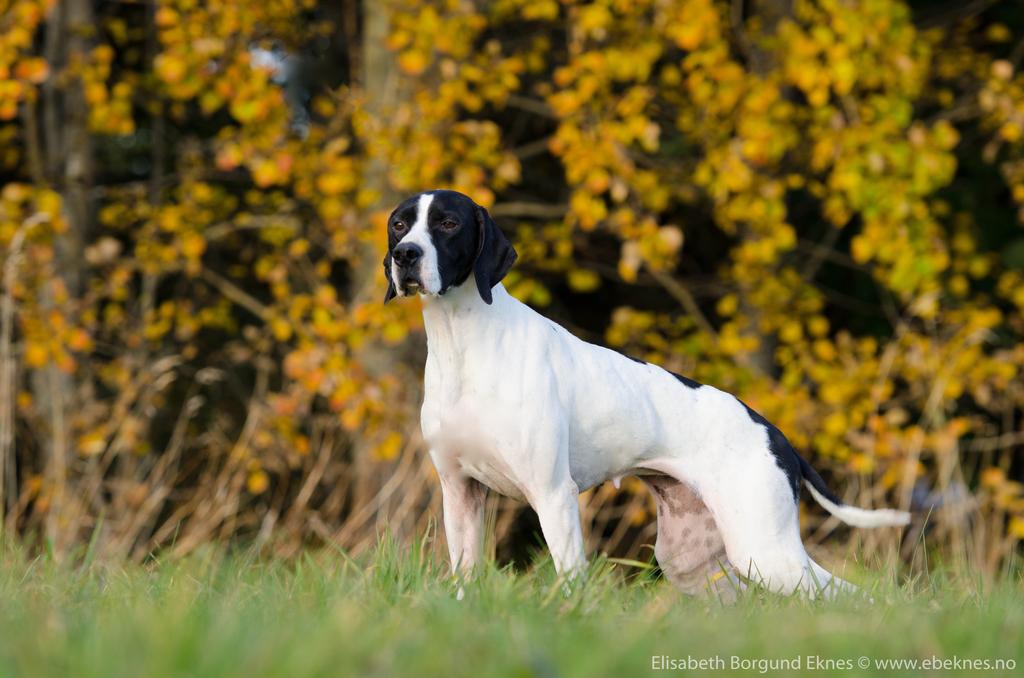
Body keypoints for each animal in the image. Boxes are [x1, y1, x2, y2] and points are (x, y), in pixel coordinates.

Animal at [385, 188, 913, 598]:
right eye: (399, 225)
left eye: (449, 223)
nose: (405, 255)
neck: (466, 342)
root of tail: (774, 432)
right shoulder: (460, 494)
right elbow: (464, 578)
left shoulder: (553, 496)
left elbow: (570, 581)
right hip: (697, 559)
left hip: (767, 552)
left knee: (854, 596)